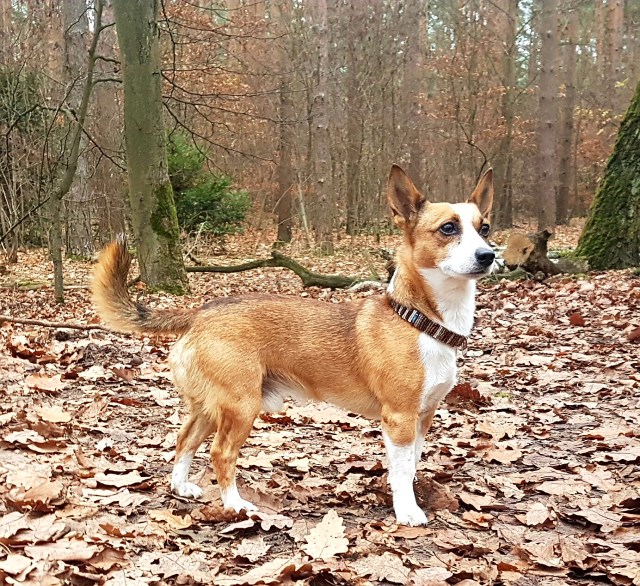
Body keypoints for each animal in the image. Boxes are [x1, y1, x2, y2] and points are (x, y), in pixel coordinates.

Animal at [92, 165, 494, 526]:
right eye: (448, 228)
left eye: (484, 228)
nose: (489, 255)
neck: (420, 320)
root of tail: (200, 313)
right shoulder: (399, 418)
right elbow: (400, 471)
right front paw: (407, 511)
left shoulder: (423, 417)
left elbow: (410, 466)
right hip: (241, 406)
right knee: (221, 454)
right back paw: (235, 505)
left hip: (211, 406)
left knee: (184, 440)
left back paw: (181, 487)